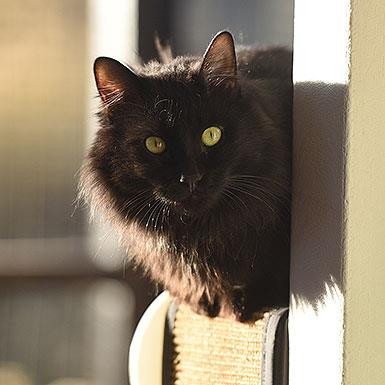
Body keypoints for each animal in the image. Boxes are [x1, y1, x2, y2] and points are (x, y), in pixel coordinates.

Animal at [81, 32, 292, 320]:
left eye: (211, 134)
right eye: (155, 144)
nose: (191, 177)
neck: (199, 234)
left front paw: (241, 301)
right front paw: (204, 302)